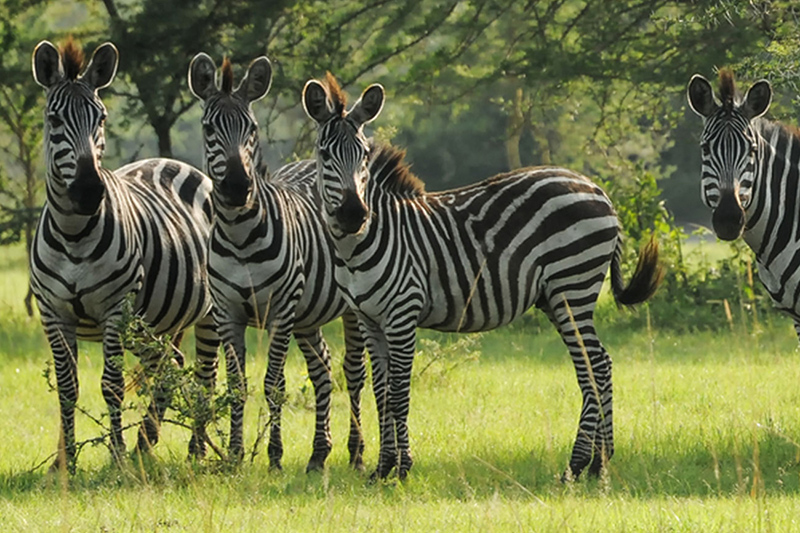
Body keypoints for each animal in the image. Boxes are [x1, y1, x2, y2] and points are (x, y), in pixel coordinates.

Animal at [31, 38, 220, 470]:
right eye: (53, 119)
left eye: (100, 118)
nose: (88, 191)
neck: (73, 233)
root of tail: (175, 162)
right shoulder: (53, 313)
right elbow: (67, 388)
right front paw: (63, 463)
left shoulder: (115, 309)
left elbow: (112, 385)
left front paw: (116, 457)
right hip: (152, 324)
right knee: (169, 365)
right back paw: (145, 444)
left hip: (207, 312)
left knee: (204, 374)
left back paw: (194, 450)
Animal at [188, 55, 366, 470]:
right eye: (208, 128)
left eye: (251, 128)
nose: (238, 187)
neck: (239, 235)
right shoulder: (227, 312)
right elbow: (236, 384)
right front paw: (235, 455)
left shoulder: (281, 309)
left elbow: (274, 383)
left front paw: (274, 455)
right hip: (309, 314)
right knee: (322, 367)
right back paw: (319, 454)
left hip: (349, 308)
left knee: (354, 372)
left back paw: (356, 451)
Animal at [300, 74, 664, 478]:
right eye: (324, 154)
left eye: (364, 155)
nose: (354, 214)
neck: (360, 245)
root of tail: (597, 188)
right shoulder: (369, 319)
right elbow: (381, 391)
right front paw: (382, 469)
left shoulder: (402, 314)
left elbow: (398, 393)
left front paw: (403, 467)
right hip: (558, 297)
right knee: (599, 364)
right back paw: (598, 462)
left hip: (573, 286)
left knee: (595, 367)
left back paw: (580, 463)